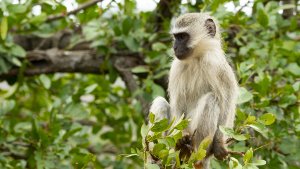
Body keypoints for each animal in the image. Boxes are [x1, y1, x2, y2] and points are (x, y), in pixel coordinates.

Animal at [150, 12, 239, 168]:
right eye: (176, 37)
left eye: (183, 37)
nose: (174, 47)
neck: (196, 58)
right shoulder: (176, 67)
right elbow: (177, 105)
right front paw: (182, 136)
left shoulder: (216, 64)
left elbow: (227, 101)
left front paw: (219, 144)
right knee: (160, 102)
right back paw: (160, 156)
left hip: (202, 143)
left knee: (211, 99)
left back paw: (194, 153)